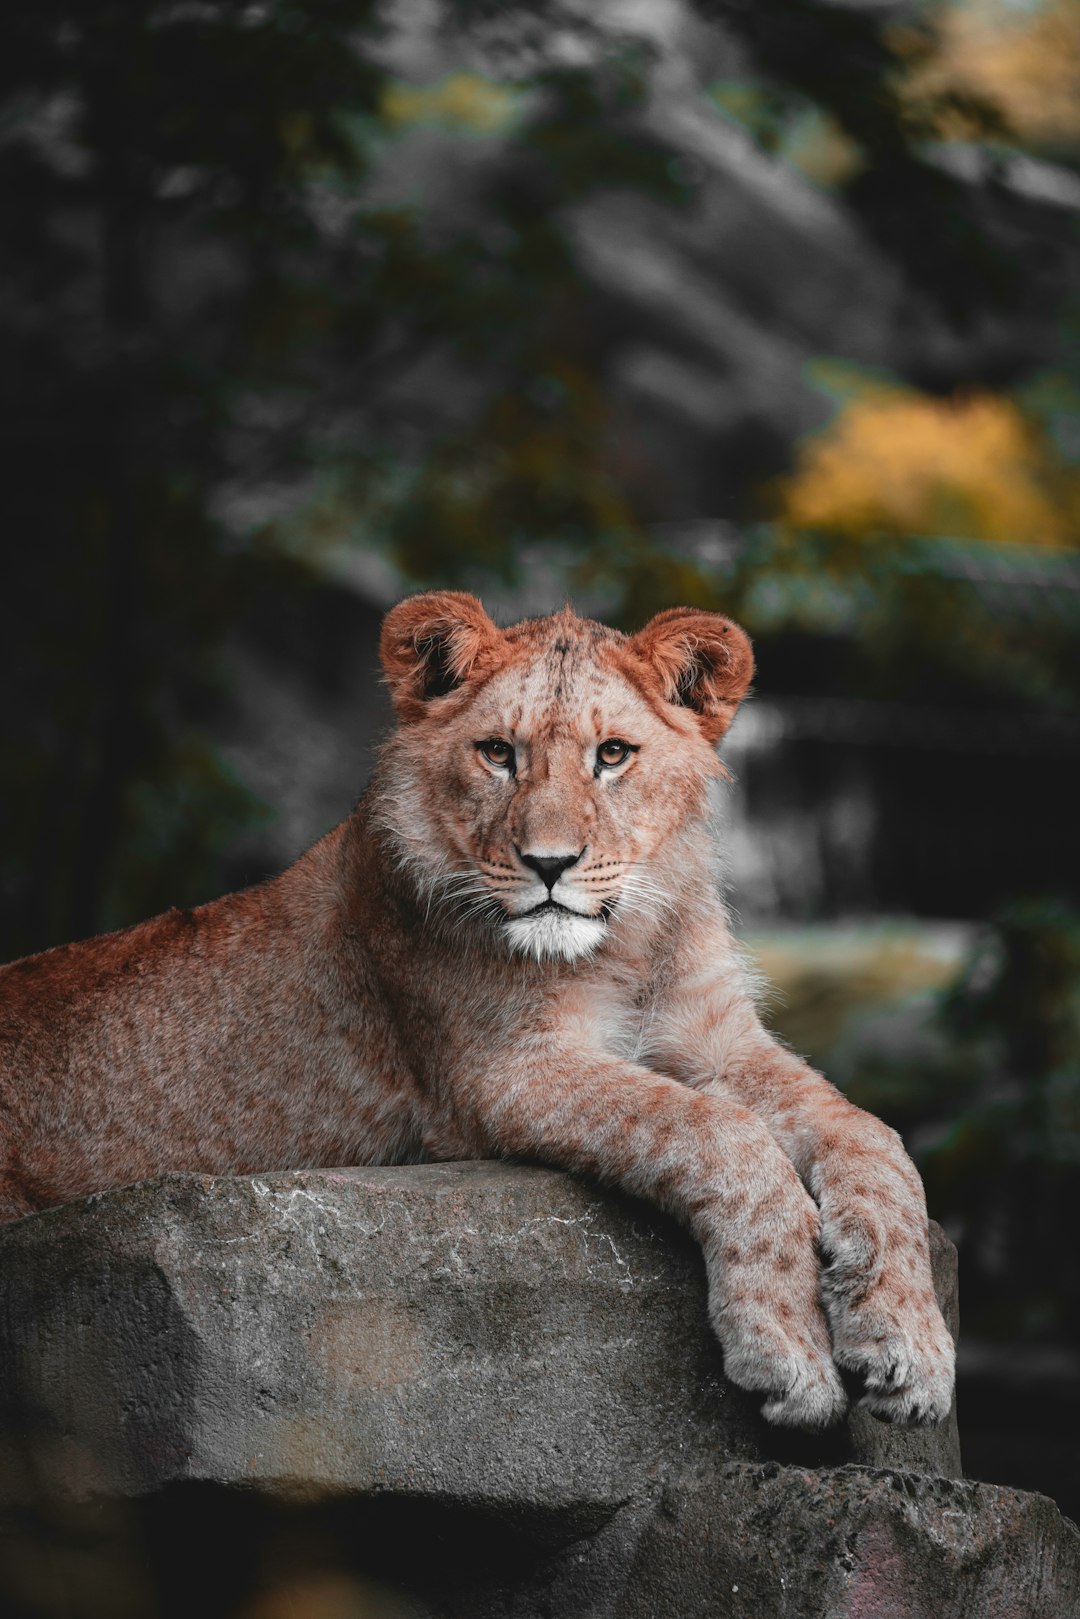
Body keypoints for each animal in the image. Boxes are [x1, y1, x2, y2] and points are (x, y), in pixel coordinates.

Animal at [0, 591, 955, 1429]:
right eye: (498, 752)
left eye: (613, 754)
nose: (550, 864)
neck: (625, 945)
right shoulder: (496, 1072)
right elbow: (717, 1132)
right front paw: (789, 1348)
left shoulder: (719, 1039)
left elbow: (873, 1136)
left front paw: (911, 1345)